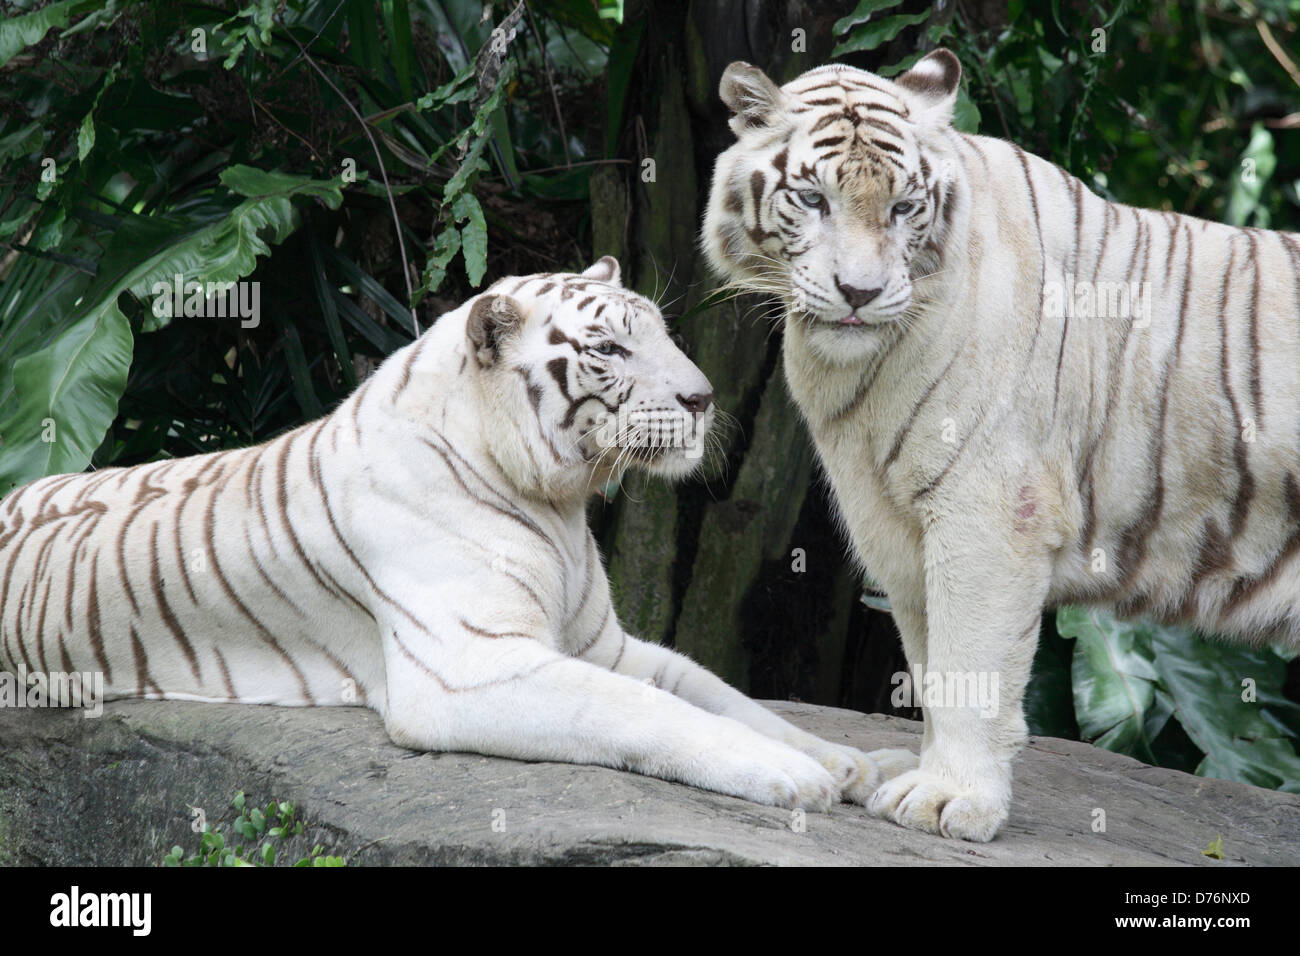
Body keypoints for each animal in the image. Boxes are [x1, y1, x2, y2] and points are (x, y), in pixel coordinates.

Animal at [0, 257, 904, 811]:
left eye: (661, 333)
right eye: (611, 348)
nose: (704, 398)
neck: (559, 507)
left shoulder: (605, 644)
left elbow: (719, 694)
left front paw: (842, 759)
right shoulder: (470, 665)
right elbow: (648, 712)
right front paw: (791, 776)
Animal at [707, 52, 1300, 842]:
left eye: (903, 208)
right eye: (811, 199)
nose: (859, 293)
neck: (854, 371)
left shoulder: (987, 515)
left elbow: (969, 667)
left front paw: (949, 798)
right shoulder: (897, 525)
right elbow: (930, 665)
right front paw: (915, 775)